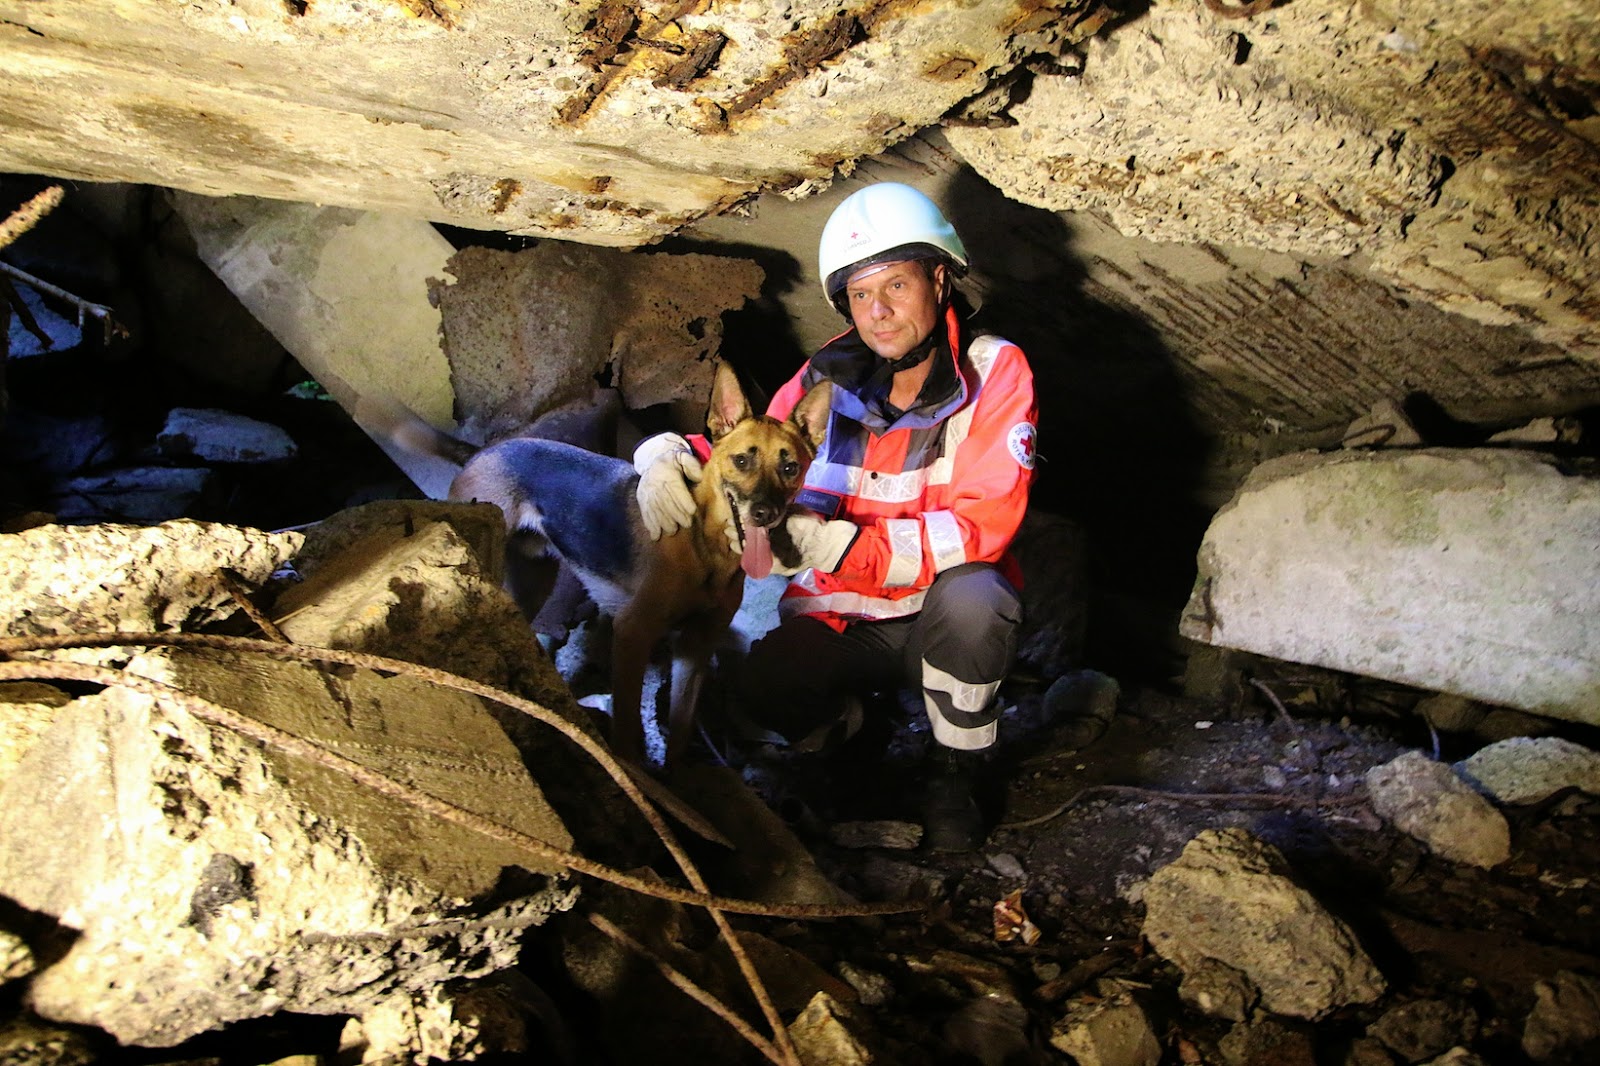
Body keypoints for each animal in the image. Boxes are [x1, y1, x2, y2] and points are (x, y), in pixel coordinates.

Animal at [364, 363, 832, 765]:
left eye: (790, 467)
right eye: (741, 460)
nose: (765, 513)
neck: (707, 552)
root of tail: (484, 451)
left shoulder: (694, 650)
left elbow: (680, 732)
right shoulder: (633, 634)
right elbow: (627, 728)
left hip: (532, 580)